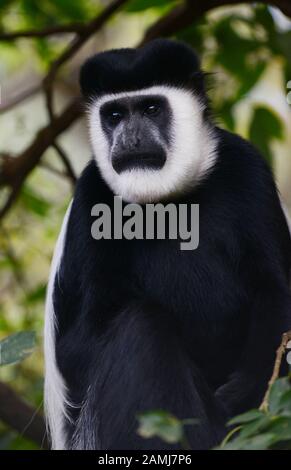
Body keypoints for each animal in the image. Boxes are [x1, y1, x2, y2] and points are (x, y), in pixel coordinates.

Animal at [44, 38, 291, 450]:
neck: (168, 202)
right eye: (114, 115)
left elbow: (276, 292)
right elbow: (77, 346)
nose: (131, 139)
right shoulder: (90, 200)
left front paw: (244, 393)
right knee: (141, 327)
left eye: (151, 108)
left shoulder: (248, 170)